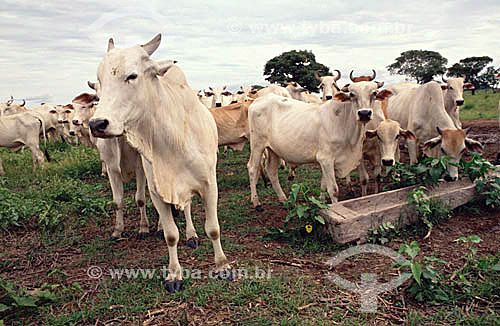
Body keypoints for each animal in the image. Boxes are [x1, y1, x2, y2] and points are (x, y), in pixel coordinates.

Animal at [248, 80, 392, 210]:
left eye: (374, 93)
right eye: (352, 94)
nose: (364, 113)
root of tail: (257, 101)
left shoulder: (326, 161)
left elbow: (323, 186)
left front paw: (321, 203)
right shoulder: (326, 158)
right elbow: (333, 190)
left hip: (273, 149)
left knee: (271, 171)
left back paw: (284, 200)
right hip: (257, 144)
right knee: (252, 168)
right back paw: (257, 203)